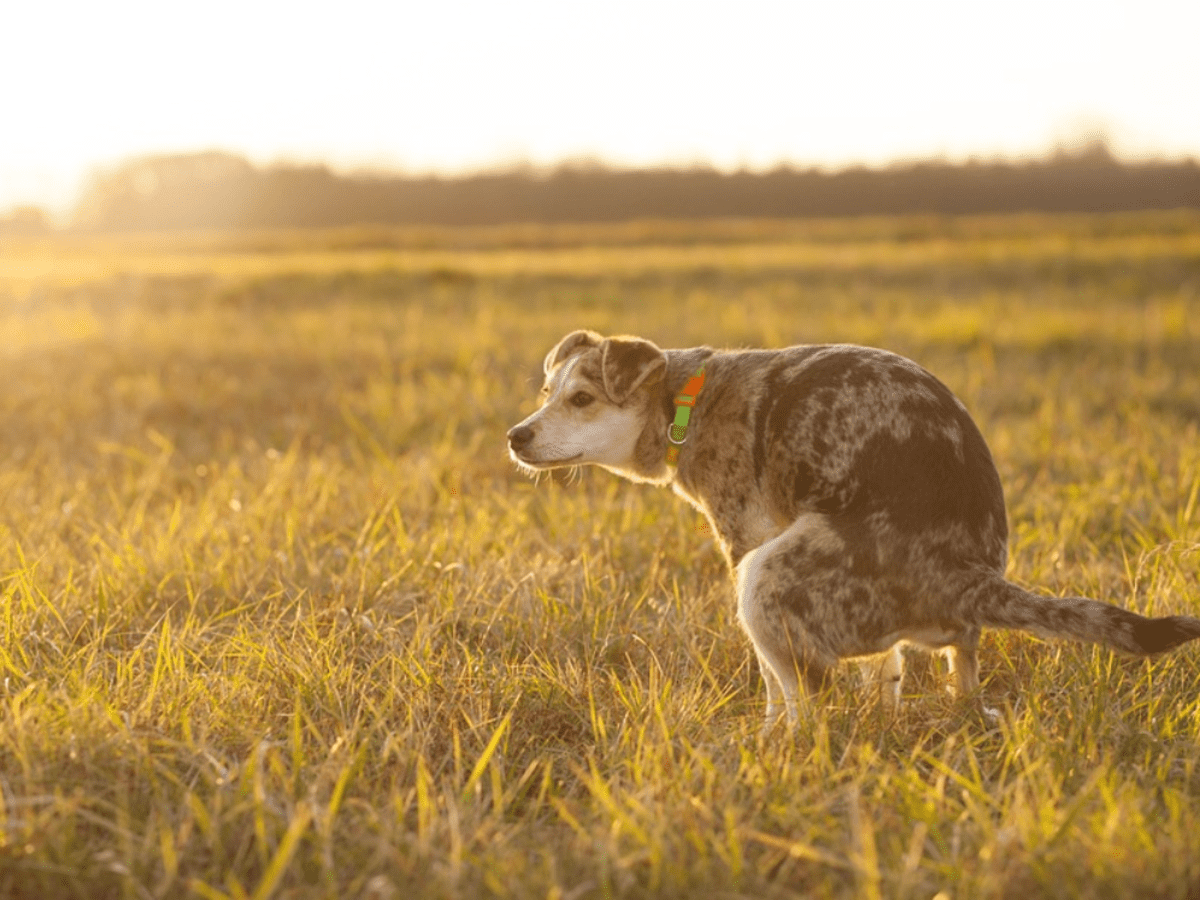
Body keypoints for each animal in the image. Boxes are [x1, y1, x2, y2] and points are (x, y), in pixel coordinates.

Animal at [506, 328, 1200, 724]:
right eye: (544, 391)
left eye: (582, 400)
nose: (515, 436)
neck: (685, 401)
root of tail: (966, 574)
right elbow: (885, 672)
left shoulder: (746, 541)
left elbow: (775, 687)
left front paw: (766, 739)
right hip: (939, 634)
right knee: (959, 671)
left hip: (764, 578)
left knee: (809, 698)